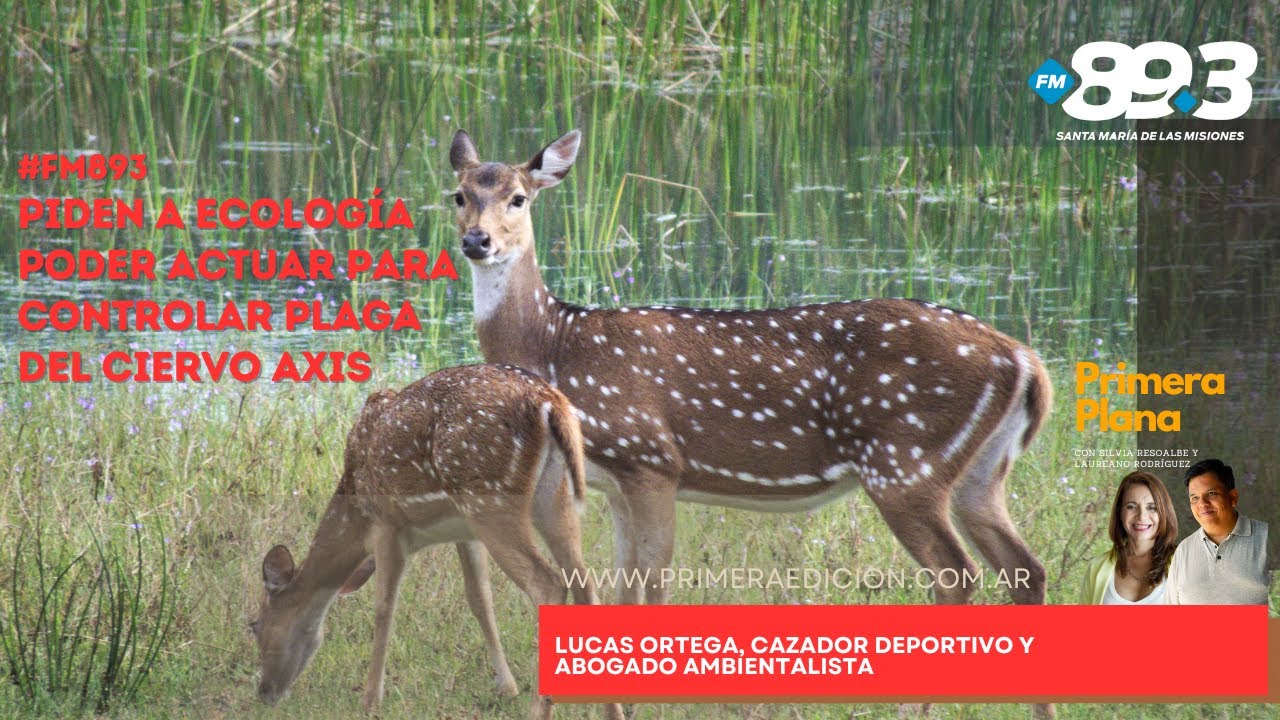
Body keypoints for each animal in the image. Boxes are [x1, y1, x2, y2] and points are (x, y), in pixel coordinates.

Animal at [250, 364, 623, 720]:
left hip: (491, 499)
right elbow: (479, 598)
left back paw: (541, 710)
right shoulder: (464, 531)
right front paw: (507, 687)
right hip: (552, 500)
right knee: (585, 584)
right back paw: (613, 711)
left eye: (255, 625)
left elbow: (384, 607)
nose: (265, 693)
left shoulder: (386, 523)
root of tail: (548, 402)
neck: (354, 511)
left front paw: (370, 700)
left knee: (549, 585)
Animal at [449, 129, 1055, 615]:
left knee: (958, 573)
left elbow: (654, 586)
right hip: (982, 470)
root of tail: (1023, 359)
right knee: (1025, 569)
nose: (477, 240)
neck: (557, 346)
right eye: (458, 195)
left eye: (518, 198)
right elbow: (625, 588)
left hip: (905, 460)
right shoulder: (615, 482)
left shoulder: (651, 459)